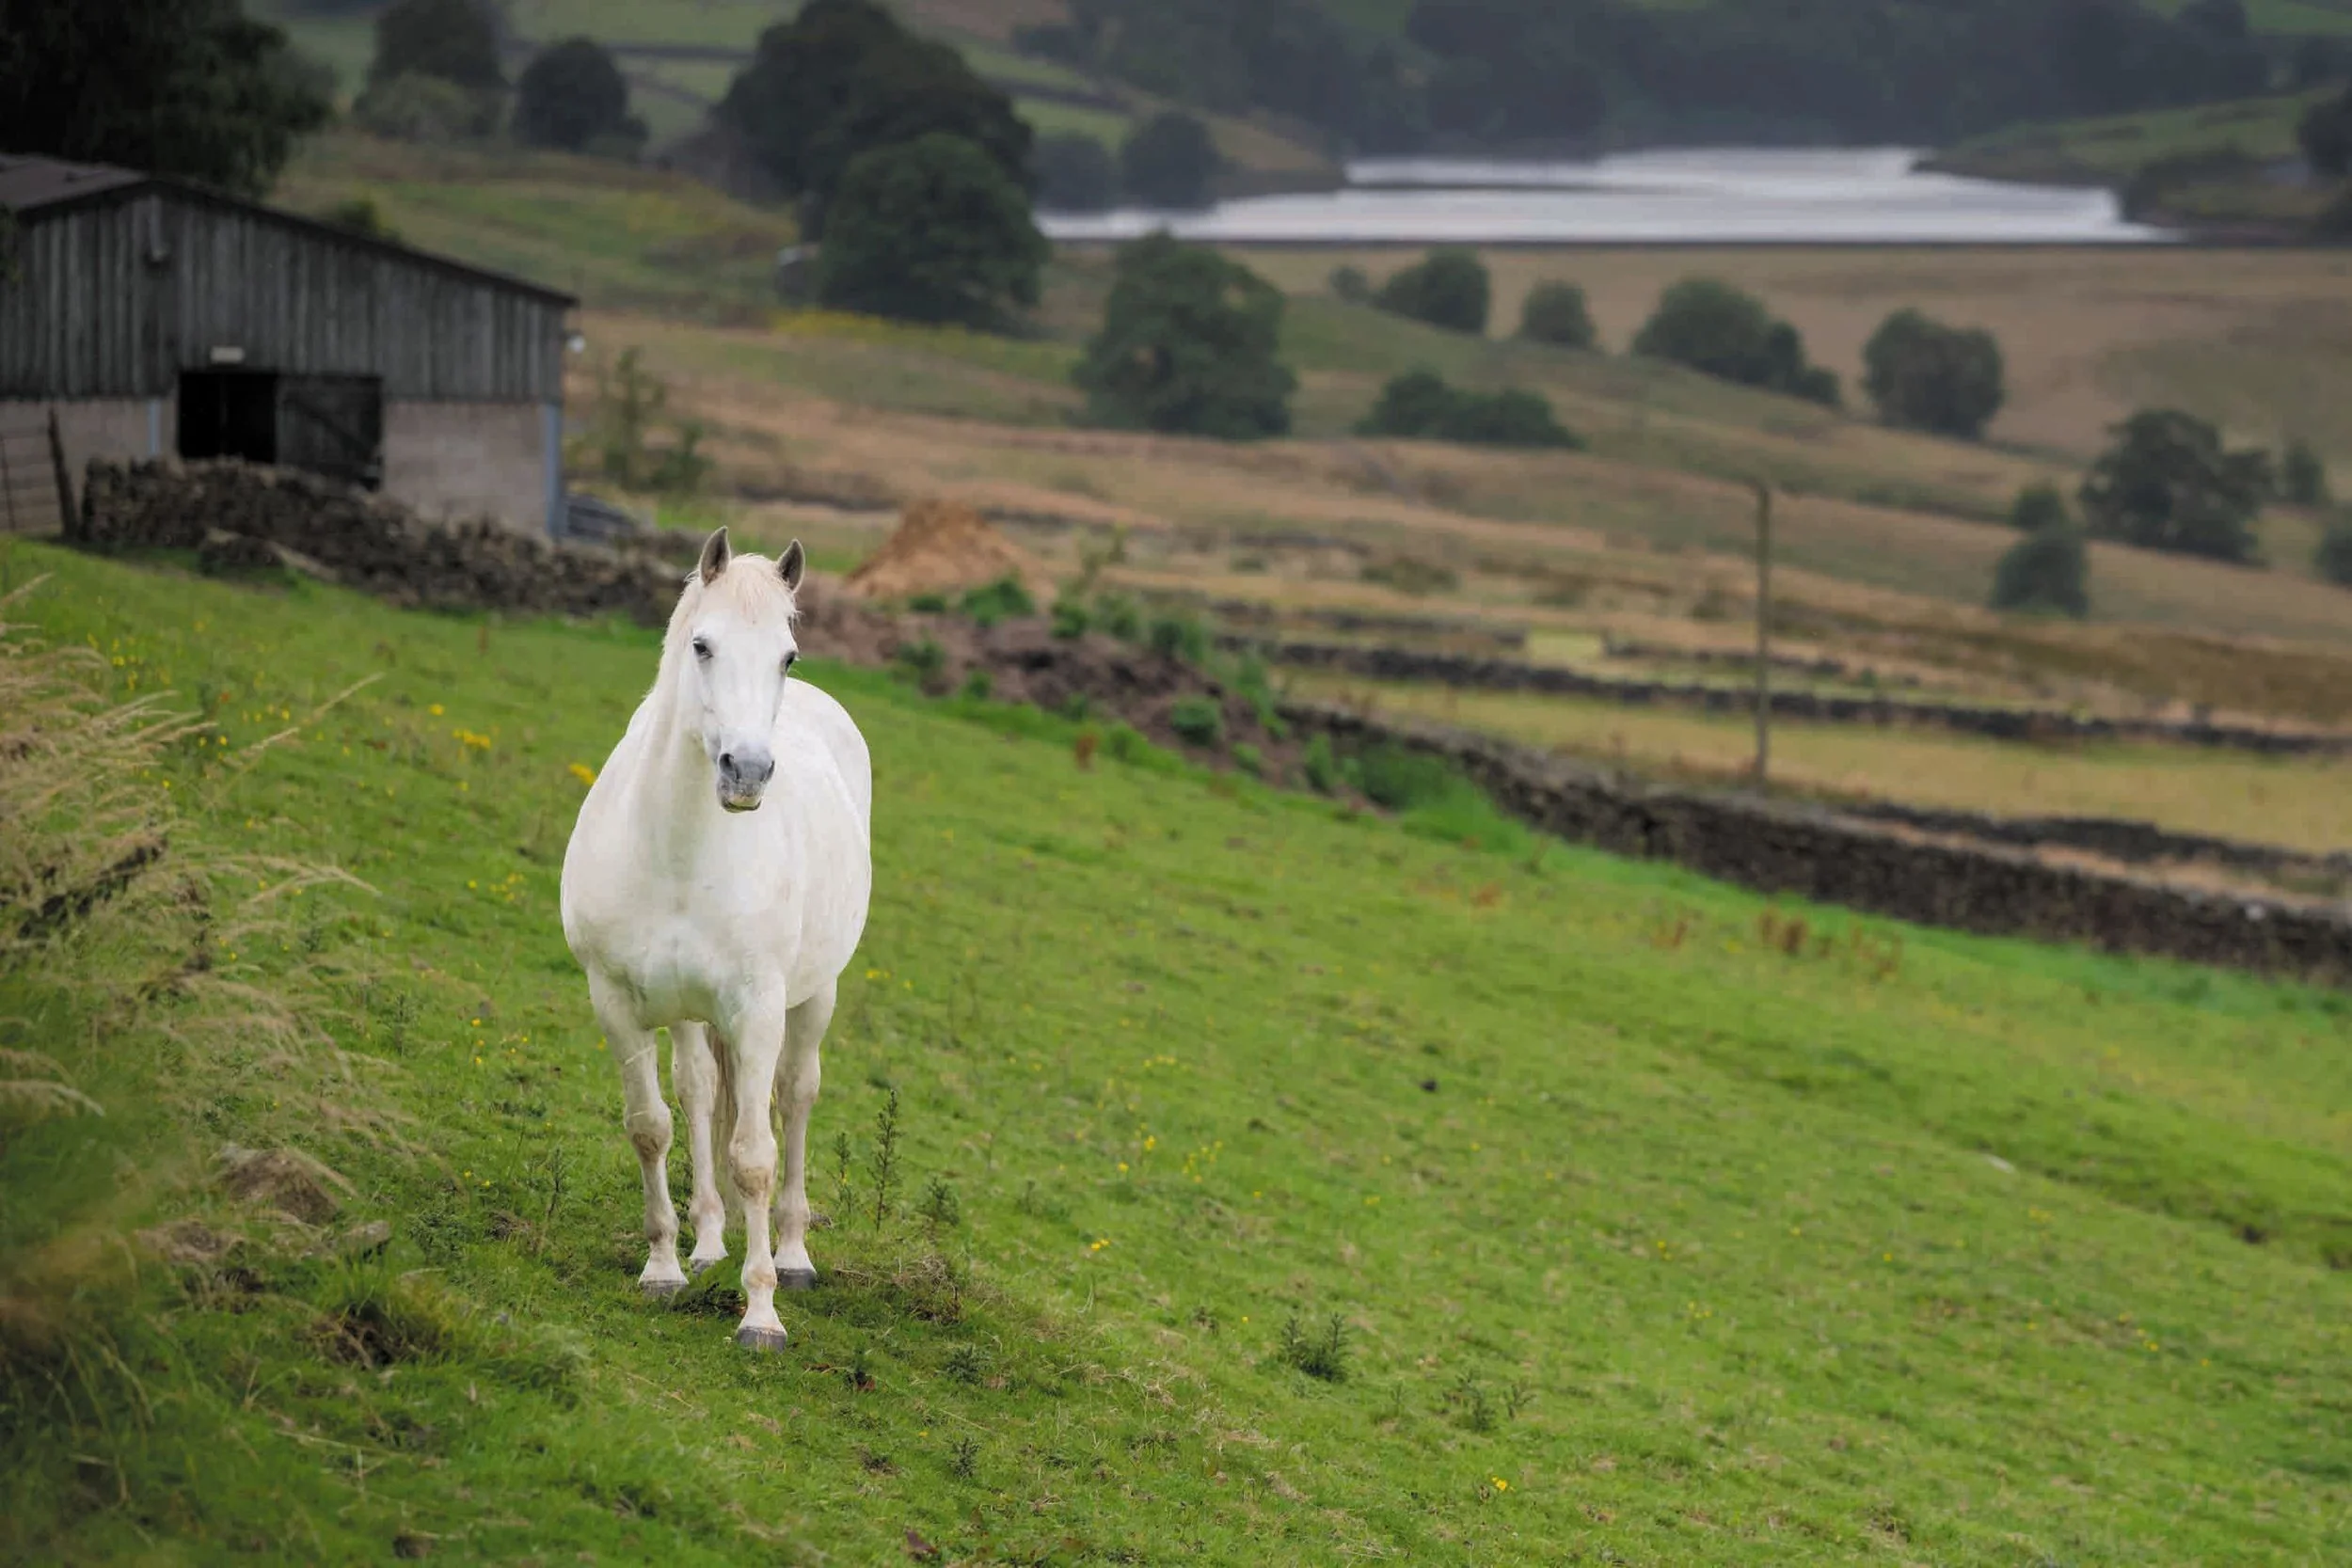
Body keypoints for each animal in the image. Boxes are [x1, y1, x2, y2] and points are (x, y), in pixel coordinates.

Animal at [560, 528, 873, 1351]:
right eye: (702, 645)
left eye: (787, 656)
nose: (749, 770)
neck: (675, 847)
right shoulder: (616, 1002)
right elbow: (650, 1127)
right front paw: (663, 1267)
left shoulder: (757, 1007)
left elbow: (755, 1156)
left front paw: (761, 1311)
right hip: (687, 1011)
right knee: (699, 1092)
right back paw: (704, 1242)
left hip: (812, 998)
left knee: (794, 1097)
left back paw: (792, 1253)